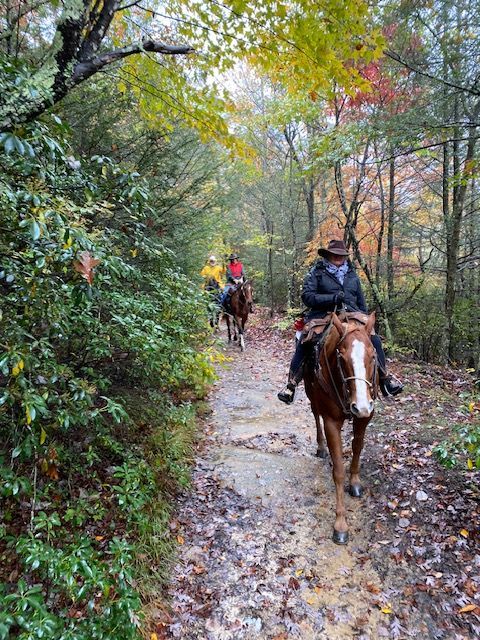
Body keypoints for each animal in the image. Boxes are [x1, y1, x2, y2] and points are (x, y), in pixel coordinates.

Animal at [303, 311, 378, 545]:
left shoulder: (366, 416)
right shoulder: (331, 422)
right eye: (341, 358)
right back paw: (321, 447)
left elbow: (357, 447)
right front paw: (341, 524)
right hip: (310, 394)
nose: (360, 406)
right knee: (314, 413)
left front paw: (355, 482)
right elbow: (338, 471)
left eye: (373, 356)